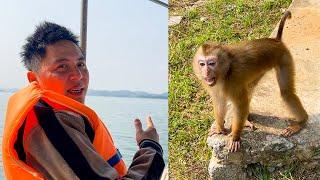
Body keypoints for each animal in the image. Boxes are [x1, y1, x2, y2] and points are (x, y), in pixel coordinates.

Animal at [192, 11, 308, 152]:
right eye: (202, 64)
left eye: (211, 63)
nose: (206, 73)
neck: (226, 71)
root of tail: (275, 40)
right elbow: (220, 100)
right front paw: (220, 127)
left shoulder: (234, 80)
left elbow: (240, 104)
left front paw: (235, 137)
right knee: (250, 87)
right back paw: (246, 120)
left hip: (284, 58)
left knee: (286, 93)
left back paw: (301, 122)